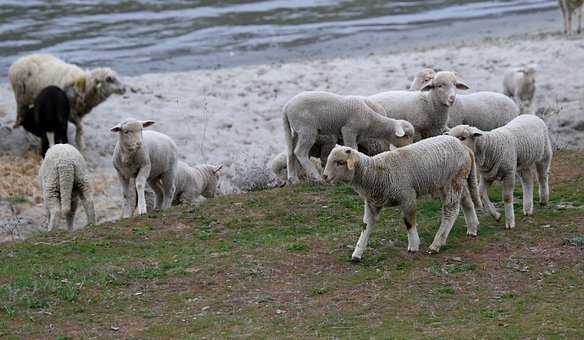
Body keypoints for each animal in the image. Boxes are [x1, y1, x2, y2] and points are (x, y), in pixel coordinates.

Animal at [282, 90, 416, 183]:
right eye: (407, 136)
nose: (410, 147)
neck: (370, 119)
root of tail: (287, 107)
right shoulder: (349, 130)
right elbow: (352, 148)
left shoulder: (357, 135)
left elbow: (355, 149)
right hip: (307, 129)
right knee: (300, 152)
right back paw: (316, 177)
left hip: (296, 131)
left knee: (291, 152)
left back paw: (293, 179)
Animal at [322, 137, 482, 258]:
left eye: (340, 162)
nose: (324, 177)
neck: (375, 174)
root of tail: (465, 148)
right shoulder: (372, 203)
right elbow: (366, 226)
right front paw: (357, 253)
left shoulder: (407, 197)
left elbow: (409, 222)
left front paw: (413, 245)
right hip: (456, 180)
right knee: (467, 201)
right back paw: (472, 228)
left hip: (453, 180)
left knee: (451, 211)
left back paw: (436, 244)